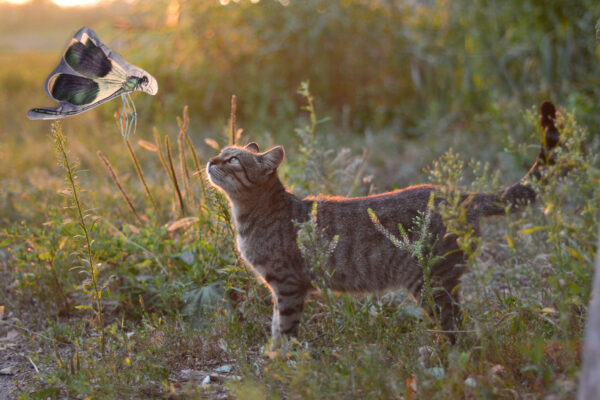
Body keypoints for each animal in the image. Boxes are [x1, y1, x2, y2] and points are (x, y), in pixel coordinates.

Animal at [207, 101, 564, 342]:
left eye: (233, 159)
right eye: (222, 152)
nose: (210, 160)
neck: (250, 216)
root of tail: (458, 193)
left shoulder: (289, 284)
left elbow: (283, 329)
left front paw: (279, 362)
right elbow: (274, 326)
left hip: (432, 283)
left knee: (457, 331)